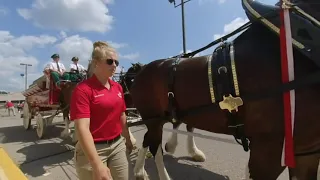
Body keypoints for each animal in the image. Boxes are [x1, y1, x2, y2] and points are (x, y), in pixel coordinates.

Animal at [123, 0, 320, 179]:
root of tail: (142, 71)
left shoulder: (307, 151)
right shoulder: (269, 148)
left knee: (150, 139)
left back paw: (140, 170)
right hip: (153, 118)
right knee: (154, 145)